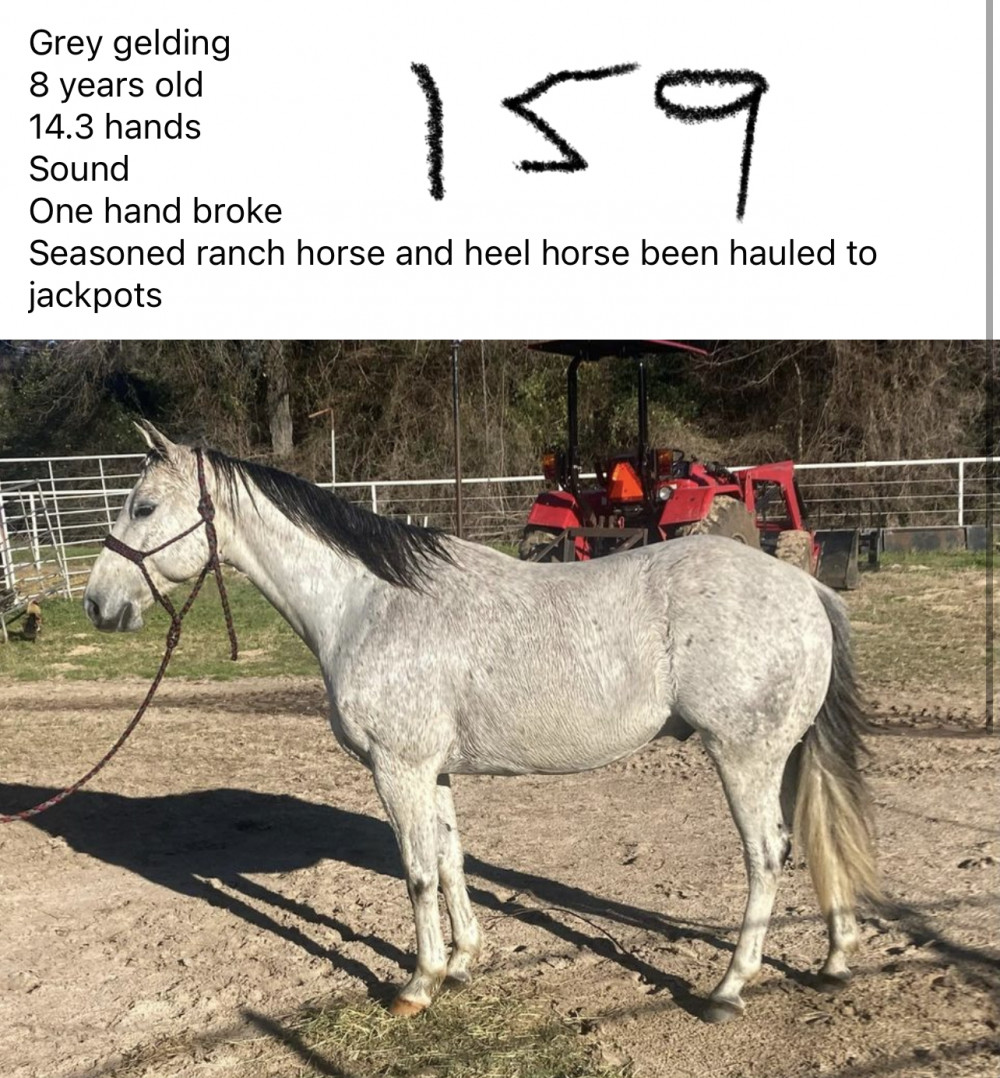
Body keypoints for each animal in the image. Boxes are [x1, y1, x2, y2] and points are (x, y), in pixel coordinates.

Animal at [83, 422, 879, 1023]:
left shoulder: (396, 769)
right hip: (785, 755)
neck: (370, 602)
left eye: (144, 508)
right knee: (816, 836)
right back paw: (836, 960)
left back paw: (729, 988)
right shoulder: (429, 771)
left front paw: (418, 984)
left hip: (744, 756)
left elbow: (416, 875)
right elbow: (450, 861)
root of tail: (803, 586)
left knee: (767, 855)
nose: (98, 603)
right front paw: (464, 962)